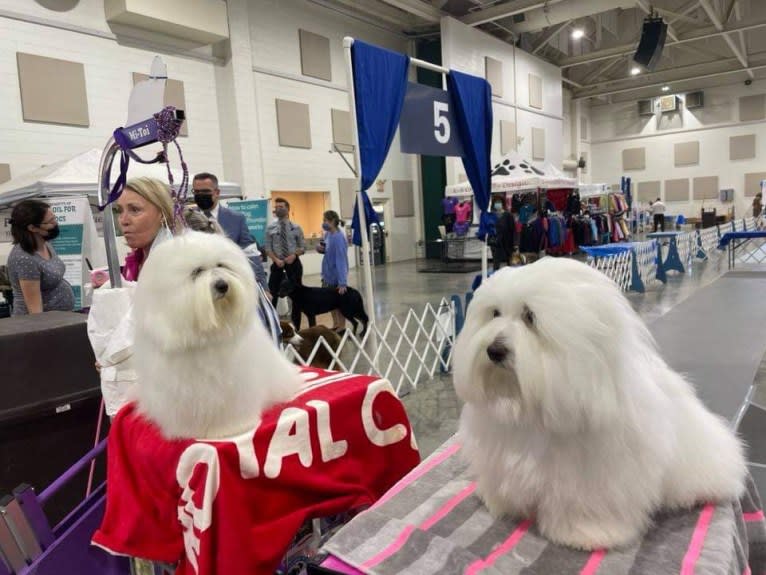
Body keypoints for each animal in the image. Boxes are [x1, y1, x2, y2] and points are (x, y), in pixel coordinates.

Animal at [452, 258, 748, 552]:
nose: (494, 350)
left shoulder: (595, 477)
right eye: (495, 313)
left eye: (530, 316)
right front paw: (499, 502)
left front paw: (588, 533)